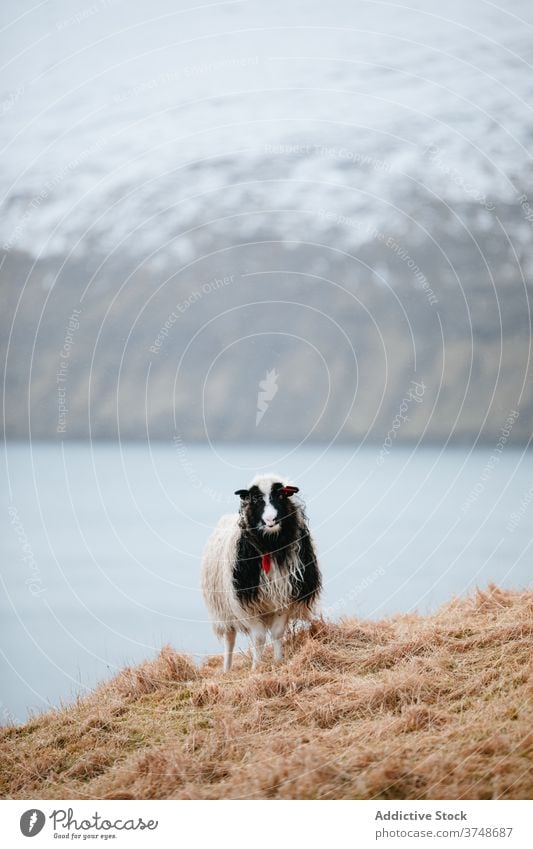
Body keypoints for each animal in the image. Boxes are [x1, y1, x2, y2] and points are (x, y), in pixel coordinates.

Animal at [201, 474, 320, 672]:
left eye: (281, 495)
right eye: (256, 499)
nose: (271, 520)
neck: (270, 547)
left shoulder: (284, 597)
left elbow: (277, 634)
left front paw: (278, 661)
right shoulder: (244, 606)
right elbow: (258, 638)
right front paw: (256, 667)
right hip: (223, 609)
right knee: (229, 638)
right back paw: (226, 669)